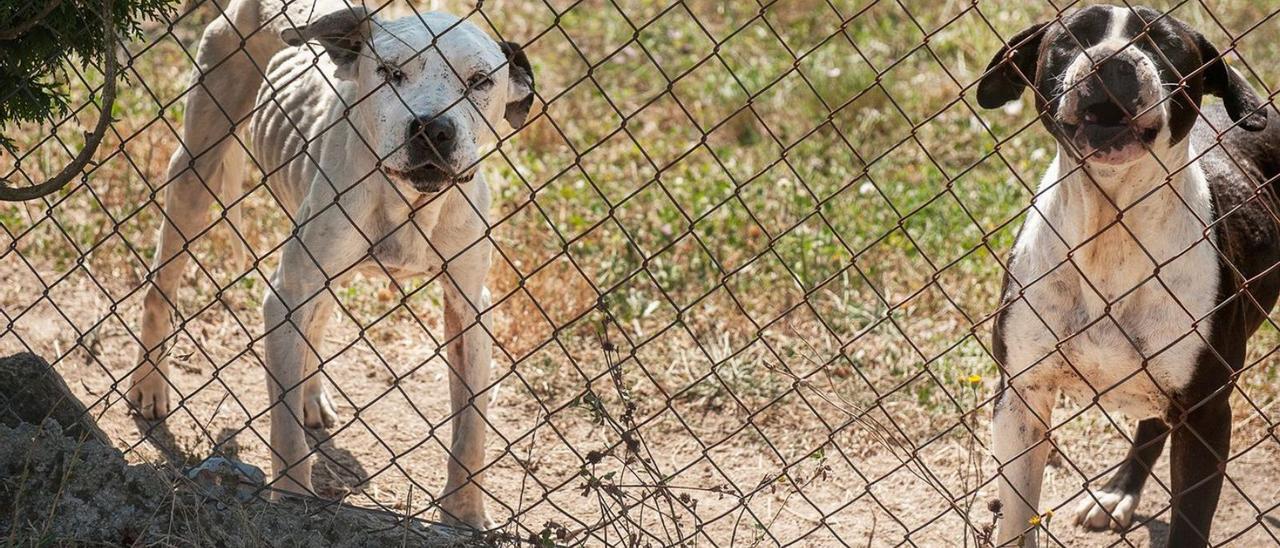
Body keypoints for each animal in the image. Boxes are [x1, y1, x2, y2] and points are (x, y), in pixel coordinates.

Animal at [127, 1, 532, 530]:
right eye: (391, 72)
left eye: (480, 81)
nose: (432, 128)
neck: (408, 202)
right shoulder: (285, 296)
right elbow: (284, 429)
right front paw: (293, 500)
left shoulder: (469, 309)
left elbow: (471, 432)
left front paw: (464, 515)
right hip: (196, 174)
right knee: (161, 285)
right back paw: (149, 384)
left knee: (315, 325)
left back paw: (311, 393)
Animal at [977, 4, 1269, 548]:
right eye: (1072, 38)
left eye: (1164, 43)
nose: (1109, 60)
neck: (1110, 234)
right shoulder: (1021, 397)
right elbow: (1016, 517)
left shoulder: (1206, 414)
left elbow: (1190, 523)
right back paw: (1118, 493)